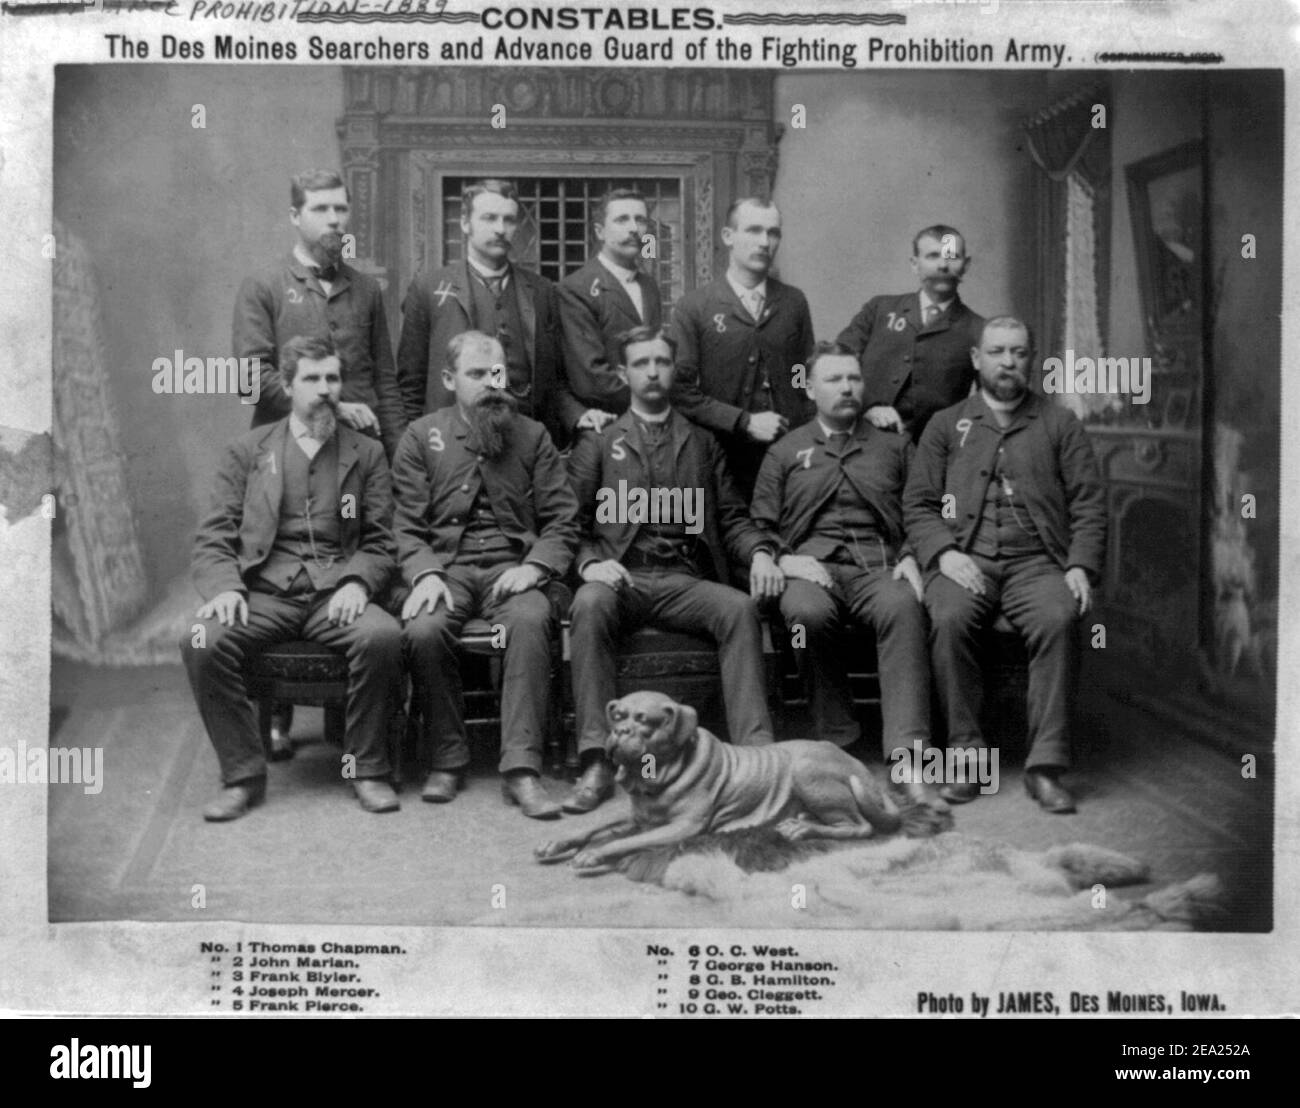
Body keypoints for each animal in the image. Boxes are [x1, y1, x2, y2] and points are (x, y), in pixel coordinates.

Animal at [533, 686, 951, 879]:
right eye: (617, 714)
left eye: (644, 721)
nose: (619, 732)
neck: (657, 774)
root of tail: (858, 768)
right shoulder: (639, 815)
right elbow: (593, 826)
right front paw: (560, 842)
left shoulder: (679, 828)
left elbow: (625, 841)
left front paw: (594, 854)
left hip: (807, 772)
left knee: (860, 827)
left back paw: (801, 828)